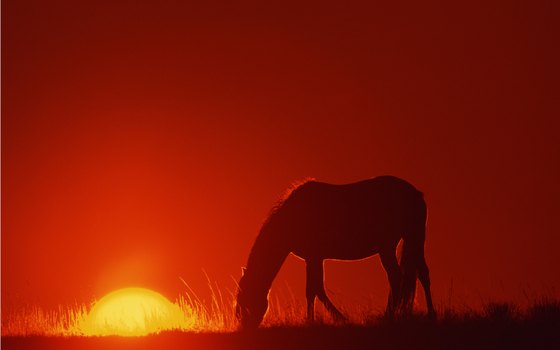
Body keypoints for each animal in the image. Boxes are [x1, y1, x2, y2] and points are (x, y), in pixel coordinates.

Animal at [234, 176, 436, 330]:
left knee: (396, 277)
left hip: (387, 248)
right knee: (422, 274)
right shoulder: (315, 258)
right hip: (413, 240)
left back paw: (389, 316)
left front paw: (320, 319)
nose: (244, 325)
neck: (293, 216)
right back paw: (430, 315)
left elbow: (313, 290)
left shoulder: (313, 257)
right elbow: (316, 289)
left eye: (244, 298)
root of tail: (416, 194)